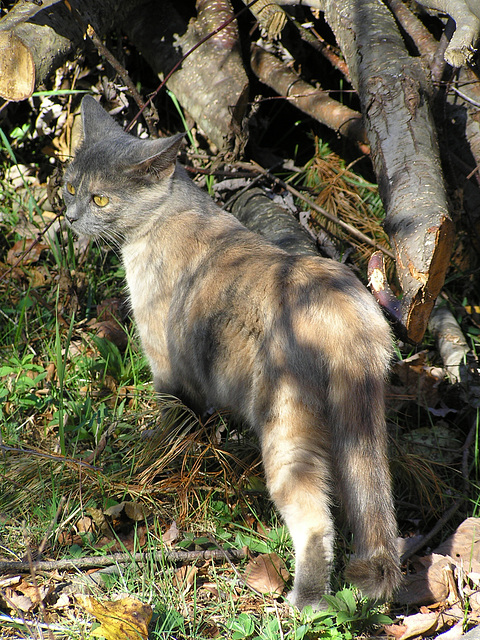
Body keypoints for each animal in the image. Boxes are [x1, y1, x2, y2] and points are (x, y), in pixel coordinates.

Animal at [62, 96, 402, 608]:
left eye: (101, 199)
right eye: (70, 187)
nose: (71, 216)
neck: (165, 219)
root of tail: (347, 315)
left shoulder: (166, 364)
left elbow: (173, 424)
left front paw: (153, 459)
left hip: (287, 429)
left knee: (316, 520)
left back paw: (305, 601)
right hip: (359, 426)